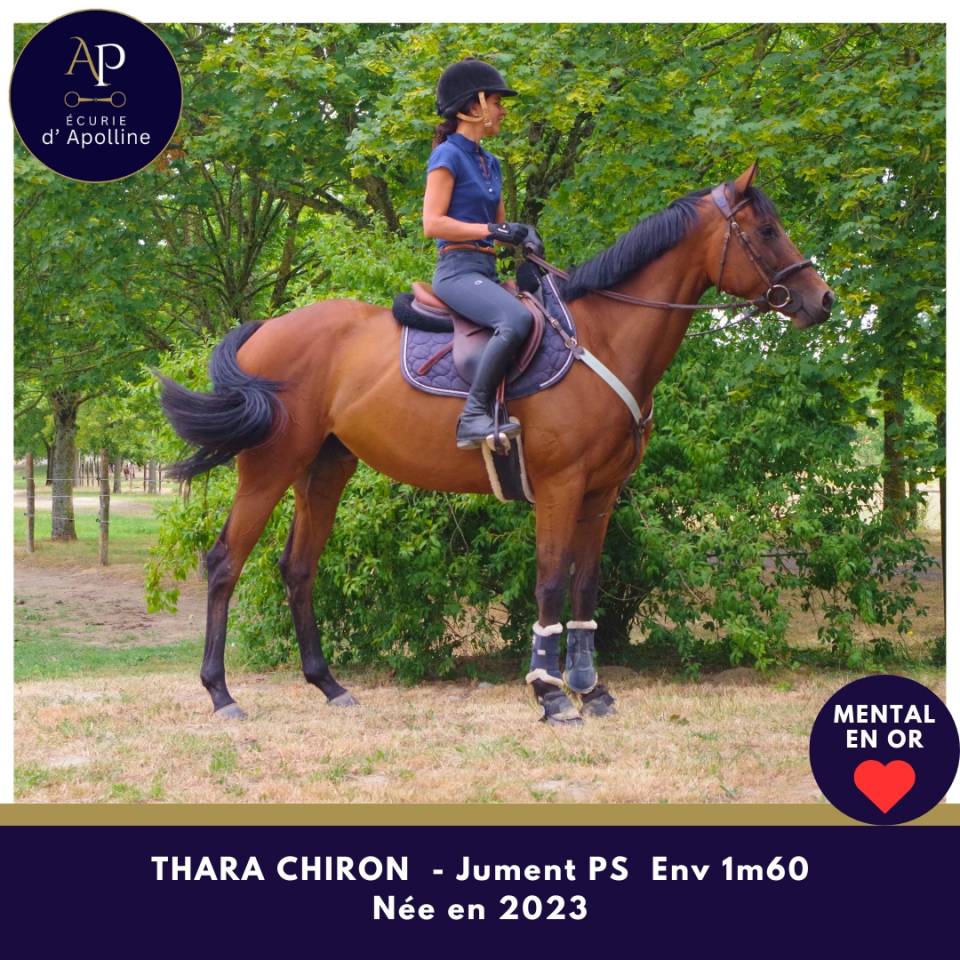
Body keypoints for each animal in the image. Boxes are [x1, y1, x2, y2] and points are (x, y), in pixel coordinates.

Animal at [160, 163, 834, 725]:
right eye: (767, 230)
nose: (821, 300)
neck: (605, 337)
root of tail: (266, 329)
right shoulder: (561, 486)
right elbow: (551, 582)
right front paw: (549, 694)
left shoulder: (602, 493)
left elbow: (587, 585)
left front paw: (591, 689)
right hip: (270, 465)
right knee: (226, 562)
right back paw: (221, 694)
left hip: (324, 468)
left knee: (298, 567)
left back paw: (329, 685)